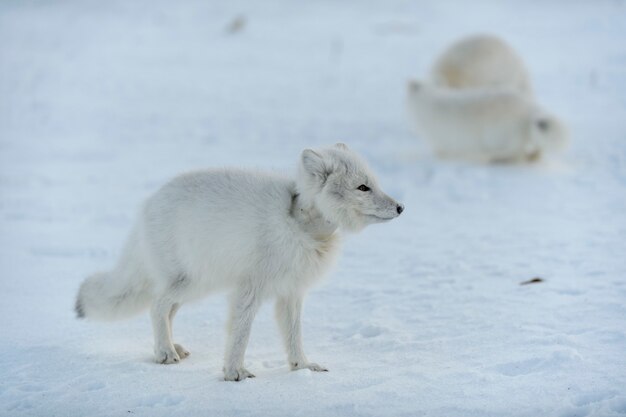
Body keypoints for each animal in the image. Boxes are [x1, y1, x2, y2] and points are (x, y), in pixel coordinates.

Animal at [75, 143, 402, 380]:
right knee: (157, 305)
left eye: (375, 183)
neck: (300, 224)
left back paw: (169, 348)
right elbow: (241, 334)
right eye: (362, 188)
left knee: (166, 310)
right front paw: (234, 373)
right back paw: (165, 352)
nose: (401, 207)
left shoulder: (291, 292)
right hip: (194, 282)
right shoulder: (250, 289)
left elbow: (294, 336)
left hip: (194, 287)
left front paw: (302, 368)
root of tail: (147, 205)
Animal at [402, 80, 568, 162]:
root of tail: (529, 106)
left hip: (500, 136)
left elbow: (441, 151)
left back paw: (494, 157)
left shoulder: (441, 140)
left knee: (514, 151)